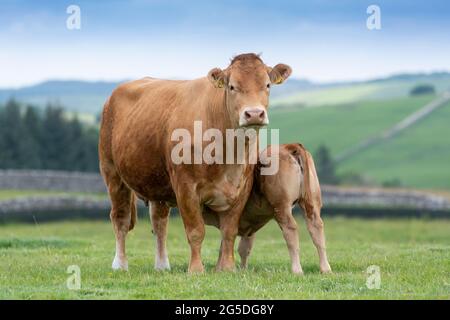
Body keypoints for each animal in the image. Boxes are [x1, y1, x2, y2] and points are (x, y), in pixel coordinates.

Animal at [98, 53, 292, 272]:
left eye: (267, 85)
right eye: (232, 86)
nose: (254, 114)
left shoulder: (242, 188)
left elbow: (229, 231)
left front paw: (227, 268)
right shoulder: (185, 187)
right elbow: (195, 231)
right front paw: (196, 269)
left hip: (156, 183)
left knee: (159, 222)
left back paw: (162, 265)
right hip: (112, 173)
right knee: (120, 218)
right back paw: (120, 264)